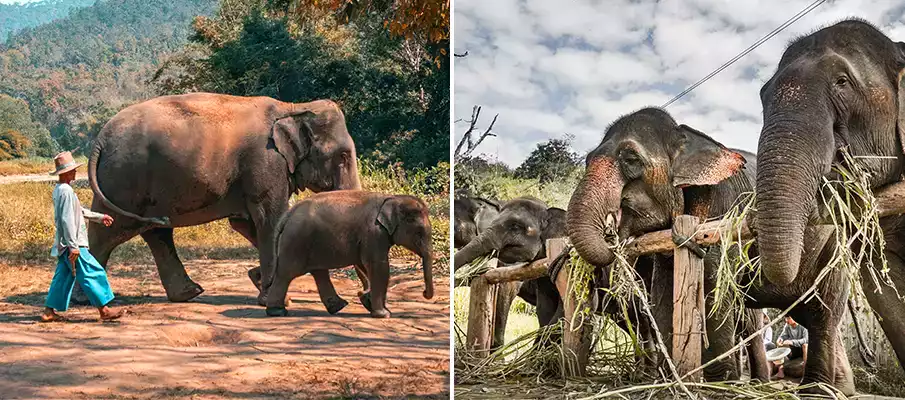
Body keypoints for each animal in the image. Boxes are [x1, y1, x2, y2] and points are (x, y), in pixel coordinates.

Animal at [85, 91, 360, 304]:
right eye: (343, 156)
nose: (361, 297)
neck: (292, 107)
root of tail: (100, 139)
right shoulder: (266, 163)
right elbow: (271, 219)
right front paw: (272, 296)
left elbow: (246, 223)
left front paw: (258, 280)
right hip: (124, 180)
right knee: (109, 230)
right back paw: (88, 299)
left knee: (156, 232)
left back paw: (189, 293)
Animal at [262, 191, 434, 318]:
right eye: (419, 233)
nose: (424, 293)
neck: (392, 198)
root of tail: (288, 214)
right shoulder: (374, 233)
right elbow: (378, 266)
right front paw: (384, 314)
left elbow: (365, 265)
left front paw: (368, 302)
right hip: (296, 241)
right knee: (287, 273)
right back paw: (277, 311)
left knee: (318, 272)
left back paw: (338, 307)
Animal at [564, 108, 768, 382]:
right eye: (587, 160)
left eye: (631, 159)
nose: (611, 235)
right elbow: (663, 291)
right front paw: (667, 378)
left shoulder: (725, 212)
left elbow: (713, 286)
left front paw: (720, 381)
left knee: (748, 318)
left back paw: (756, 381)